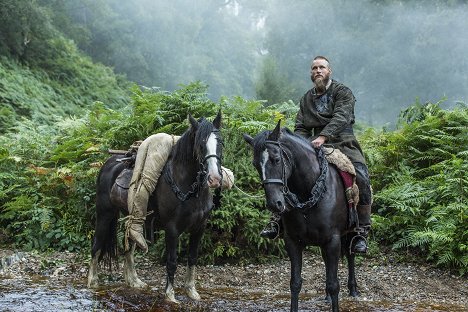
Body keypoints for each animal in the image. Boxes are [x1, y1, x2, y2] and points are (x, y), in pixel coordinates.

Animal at [87, 112, 223, 302]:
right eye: (201, 145)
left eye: (220, 143)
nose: (215, 178)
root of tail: (109, 163)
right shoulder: (172, 228)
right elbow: (172, 261)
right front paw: (170, 295)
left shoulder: (199, 228)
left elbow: (192, 258)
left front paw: (191, 291)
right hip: (104, 214)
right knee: (97, 244)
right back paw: (92, 281)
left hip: (130, 216)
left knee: (129, 245)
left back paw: (134, 281)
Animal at [243, 121, 360, 312]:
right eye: (255, 164)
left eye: (276, 159)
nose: (274, 204)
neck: (308, 192)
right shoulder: (293, 241)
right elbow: (295, 283)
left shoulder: (333, 240)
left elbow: (334, 284)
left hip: (349, 231)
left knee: (351, 254)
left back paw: (353, 288)